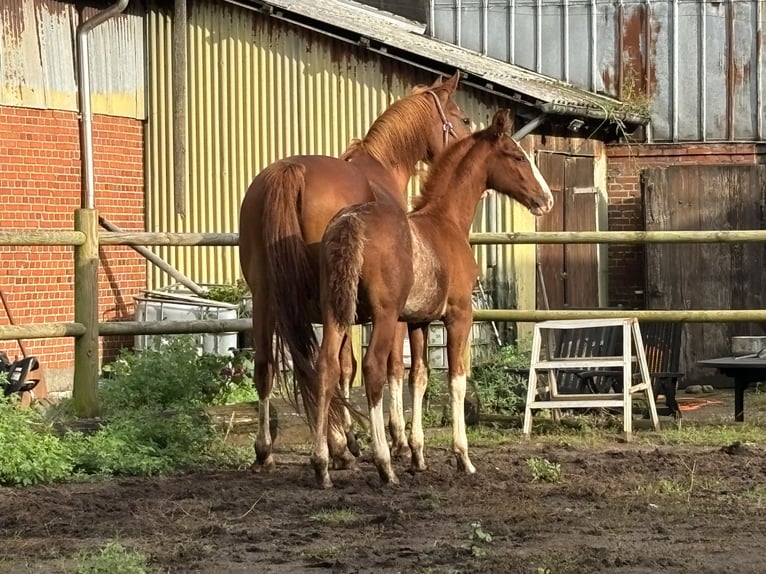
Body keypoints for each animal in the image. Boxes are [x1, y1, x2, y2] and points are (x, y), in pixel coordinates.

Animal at [238, 72, 474, 472]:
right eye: (463, 118)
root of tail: (290, 171)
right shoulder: (387, 309)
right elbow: (388, 367)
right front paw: (393, 441)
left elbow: (348, 367)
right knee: (321, 365)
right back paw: (336, 448)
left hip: (265, 297)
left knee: (266, 366)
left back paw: (265, 450)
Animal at [304, 110, 556, 488]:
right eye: (516, 156)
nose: (546, 199)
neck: (445, 221)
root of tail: (350, 223)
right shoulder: (458, 316)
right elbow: (456, 379)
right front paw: (463, 457)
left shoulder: (419, 321)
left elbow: (419, 378)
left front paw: (419, 456)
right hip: (382, 317)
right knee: (373, 370)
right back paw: (383, 464)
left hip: (336, 312)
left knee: (326, 369)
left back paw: (322, 465)